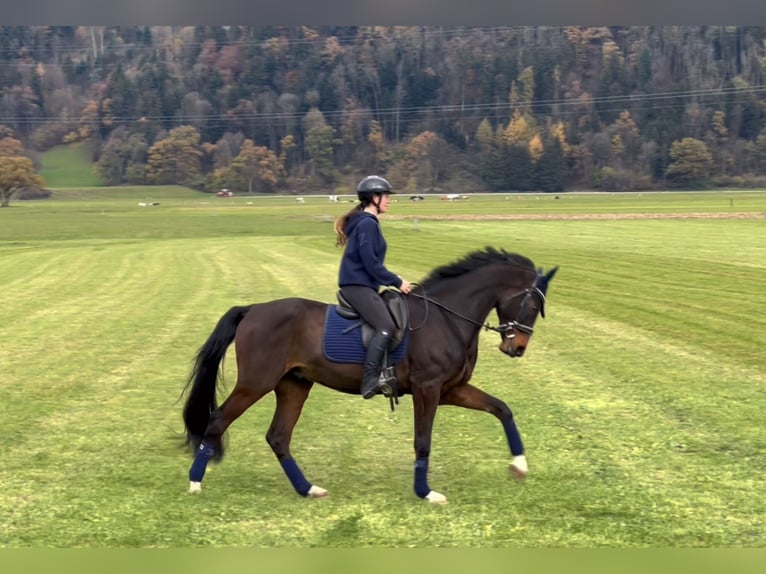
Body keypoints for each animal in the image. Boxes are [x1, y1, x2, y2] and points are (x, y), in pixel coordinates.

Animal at [183, 245, 560, 506]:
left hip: (294, 385)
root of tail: (254, 310)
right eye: (531, 304)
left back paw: (308, 489)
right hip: (255, 384)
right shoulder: (428, 389)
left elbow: (502, 409)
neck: (448, 318)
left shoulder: (452, 389)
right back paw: (194, 483)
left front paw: (519, 466)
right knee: (217, 422)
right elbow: (423, 440)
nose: (517, 347)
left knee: (278, 437)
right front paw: (425, 493)